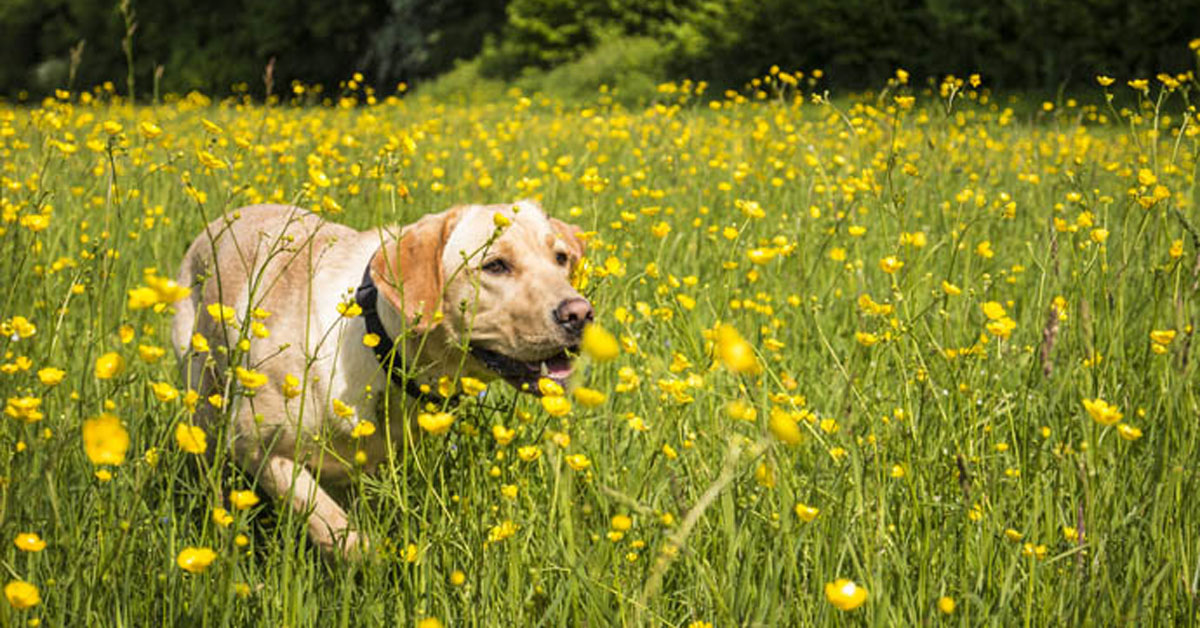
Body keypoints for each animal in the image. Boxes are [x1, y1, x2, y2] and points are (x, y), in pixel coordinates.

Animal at [171, 202, 592, 559]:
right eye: (495, 265)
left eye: (560, 259)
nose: (580, 314)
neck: (381, 347)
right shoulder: (255, 444)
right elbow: (327, 520)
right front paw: (369, 559)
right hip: (203, 405)